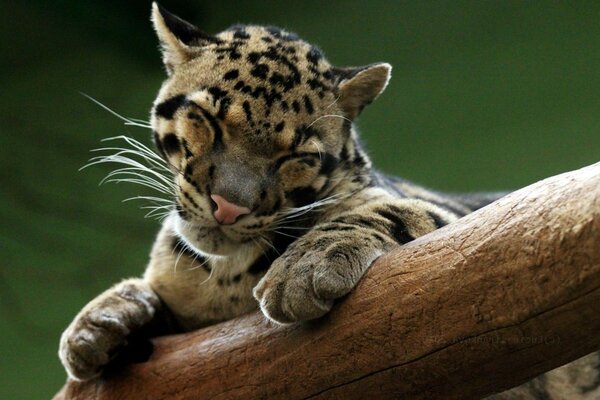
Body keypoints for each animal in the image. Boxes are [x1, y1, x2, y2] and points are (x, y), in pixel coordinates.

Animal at [57, 3, 600, 400]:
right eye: (208, 121)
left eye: (295, 155)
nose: (229, 206)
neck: (226, 277)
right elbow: (152, 290)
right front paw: (97, 322)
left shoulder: (465, 223)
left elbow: (384, 210)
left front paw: (305, 267)